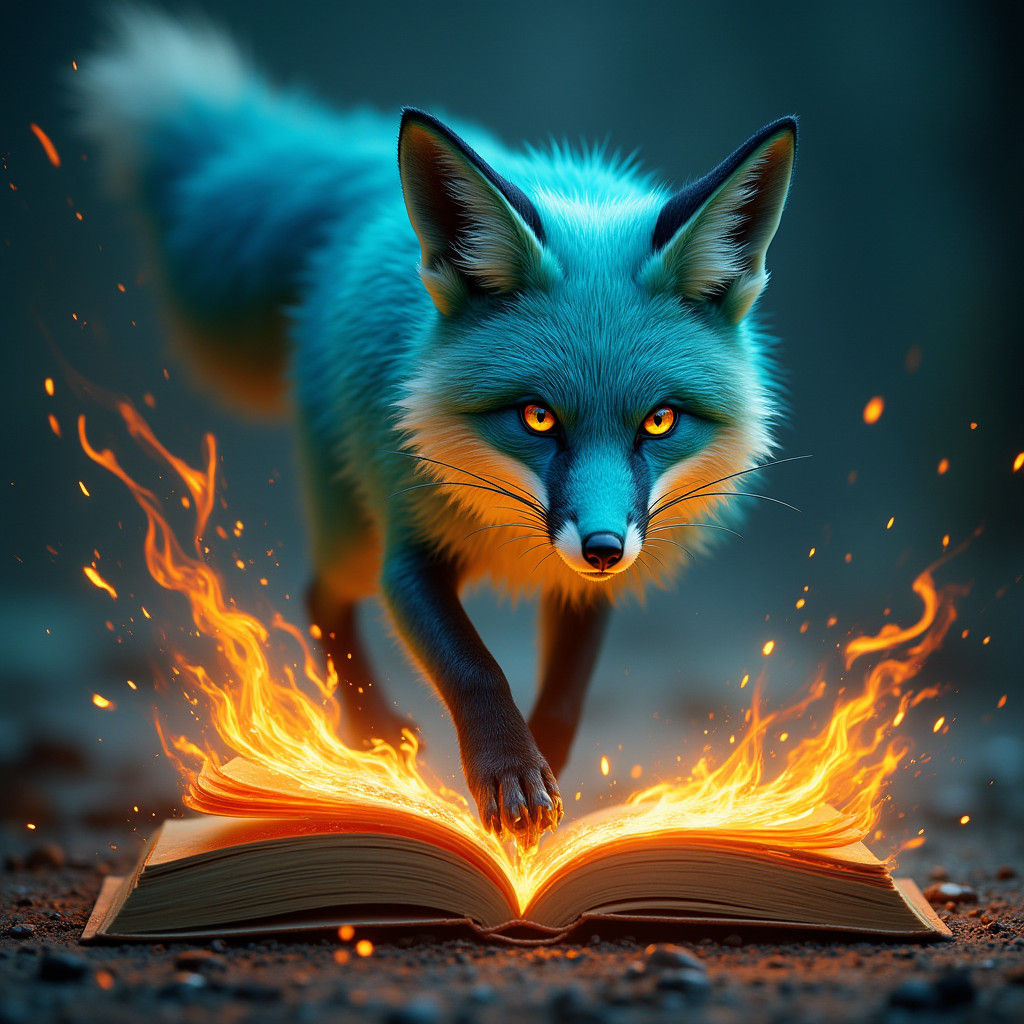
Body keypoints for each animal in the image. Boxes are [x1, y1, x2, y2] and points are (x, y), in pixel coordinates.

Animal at [76, 10, 796, 846]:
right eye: (537, 417)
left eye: (659, 421)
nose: (604, 548)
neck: (510, 534)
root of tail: (362, 174)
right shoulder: (407, 549)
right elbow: (473, 667)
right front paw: (508, 774)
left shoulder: (586, 583)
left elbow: (565, 693)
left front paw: (542, 783)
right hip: (352, 526)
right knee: (319, 595)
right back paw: (370, 729)